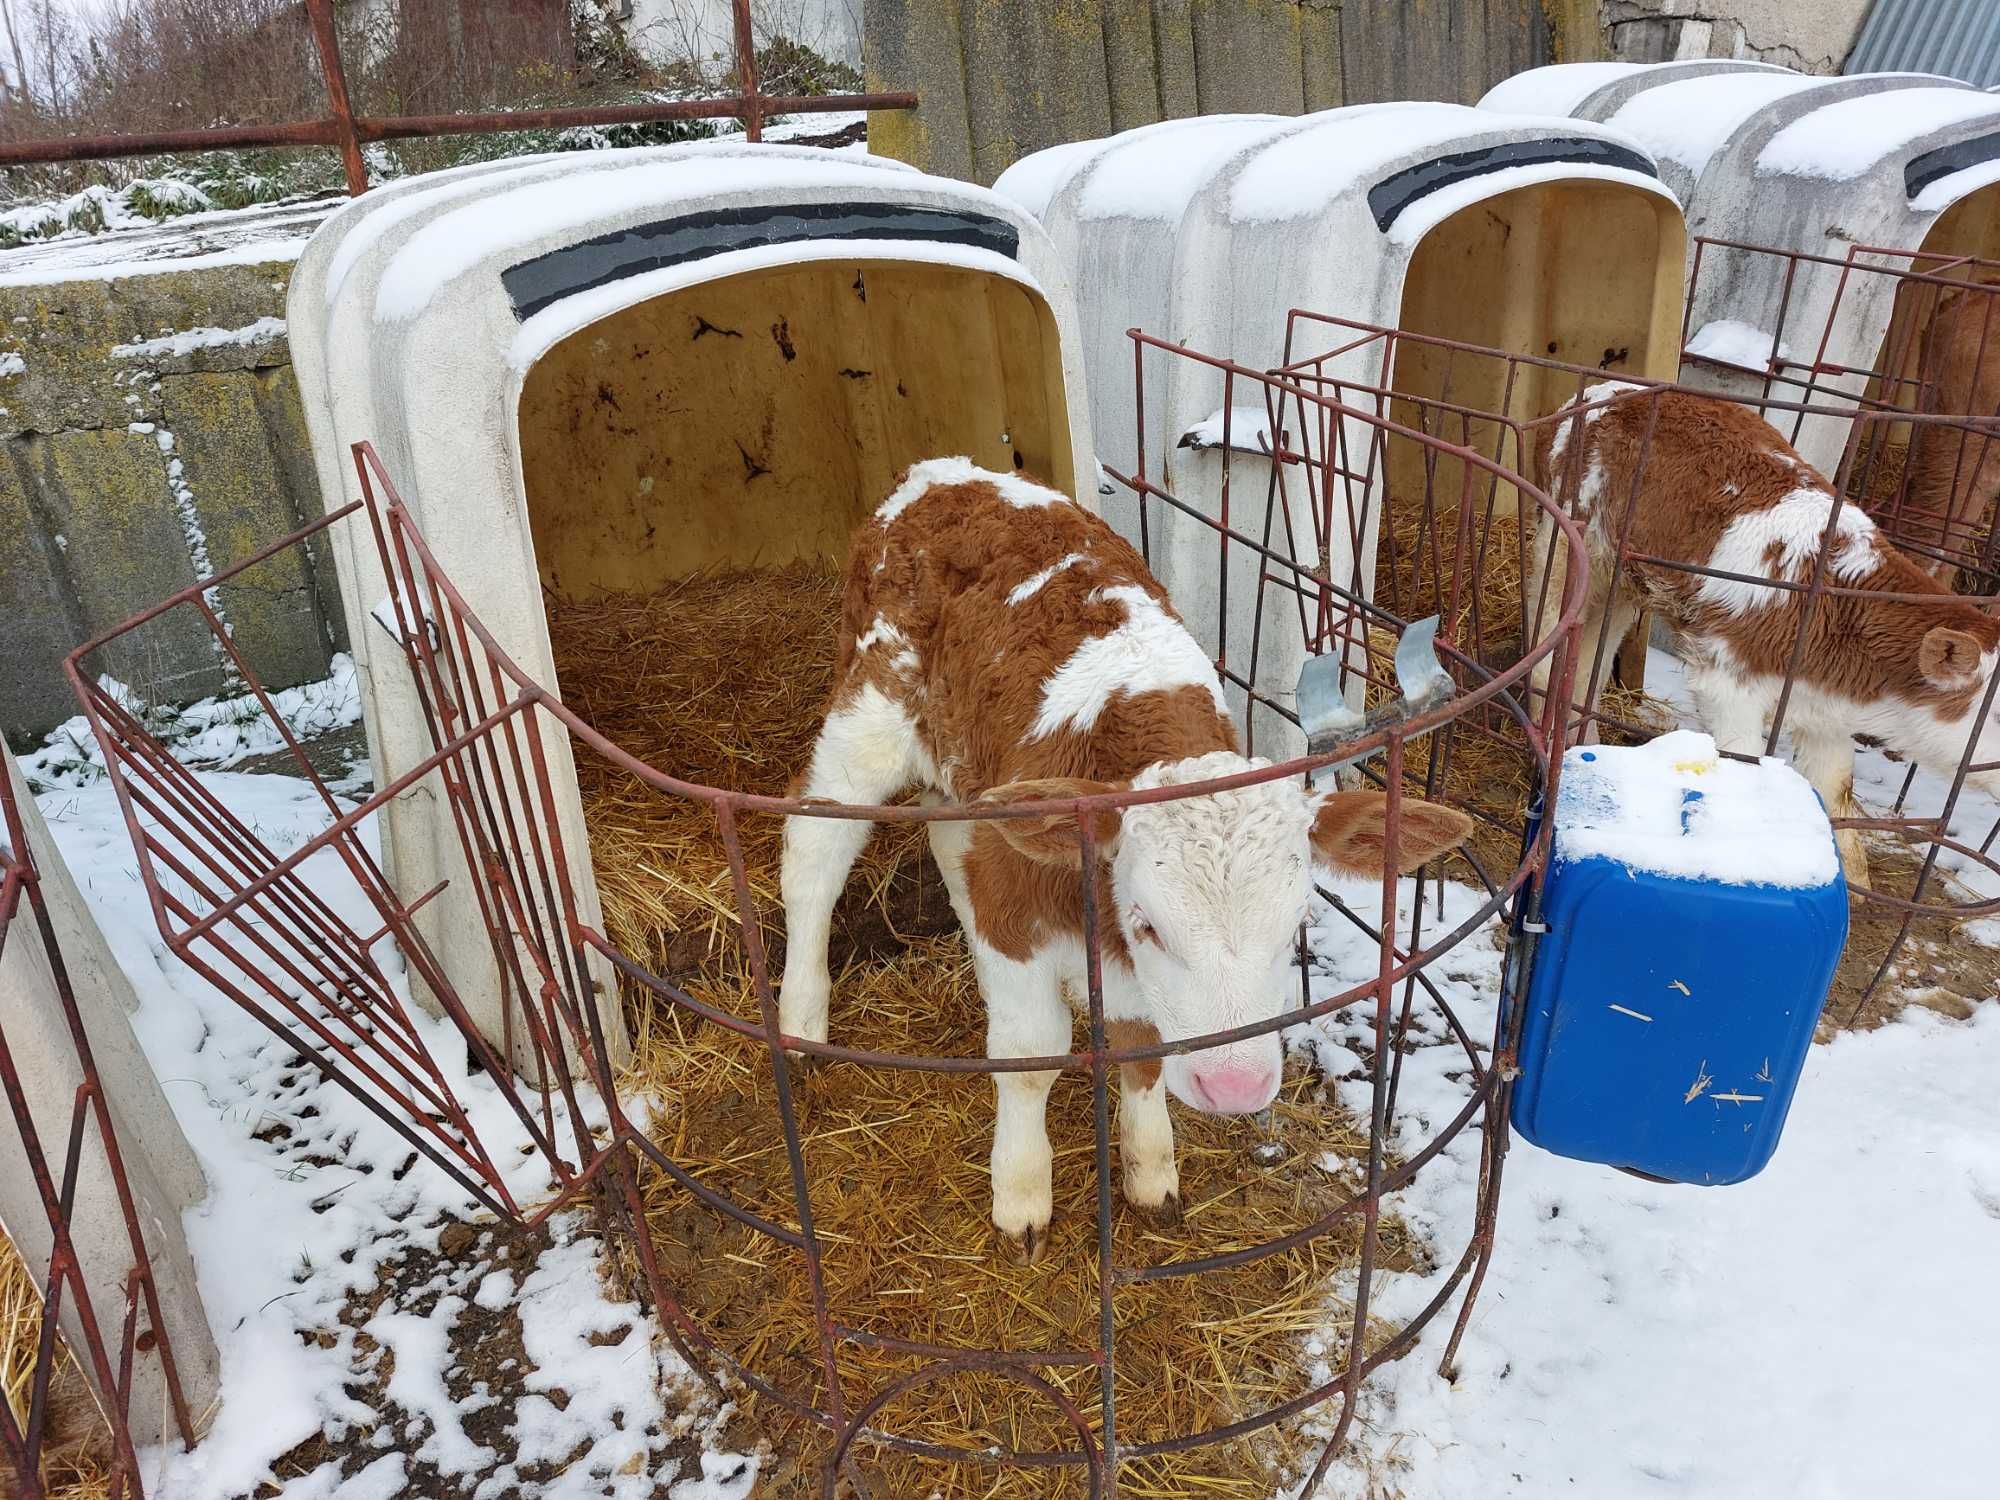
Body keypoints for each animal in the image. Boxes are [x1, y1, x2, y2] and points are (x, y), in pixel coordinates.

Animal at [780, 456, 1472, 1256]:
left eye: (1295, 926)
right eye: (1147, 924)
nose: (1235, 1089)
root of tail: (939, 473)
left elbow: (1141, 1046)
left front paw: (1150, 1170)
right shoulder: (1015, 907)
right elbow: (1030, 1053)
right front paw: (1022, 1193)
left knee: (950, 838)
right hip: (869, 713)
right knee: (815, 847)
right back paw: (799, 1019)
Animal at [1528, 382, 2000, 892]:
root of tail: (1613, 390)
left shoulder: (1827, 716)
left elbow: (1836, 791)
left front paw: (1855, 882)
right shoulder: (1726, 683)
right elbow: (1745, 765)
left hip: (1624, 582)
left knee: (1589, 661)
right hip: (1567, 543)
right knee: (1547, 637)